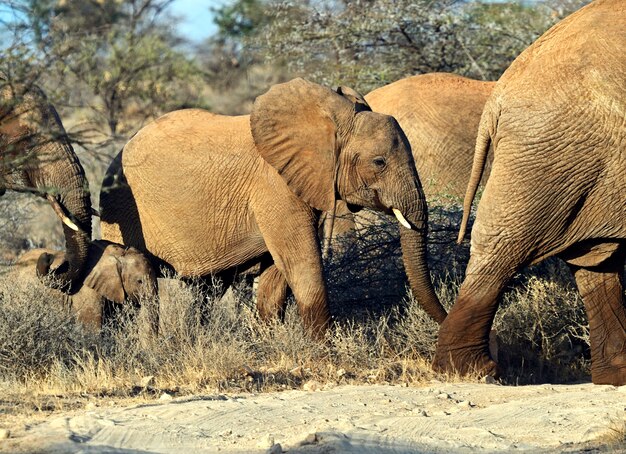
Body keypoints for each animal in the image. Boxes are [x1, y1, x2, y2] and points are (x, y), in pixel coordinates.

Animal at [100, 77, 446, 334]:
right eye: (379, 162)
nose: (443, 323)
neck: (327, 121)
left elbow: (275, 276)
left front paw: (271, 341)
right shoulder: (275, 188)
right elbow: (301, 263)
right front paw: (322, 350)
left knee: (207, 289)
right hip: (121, 209)